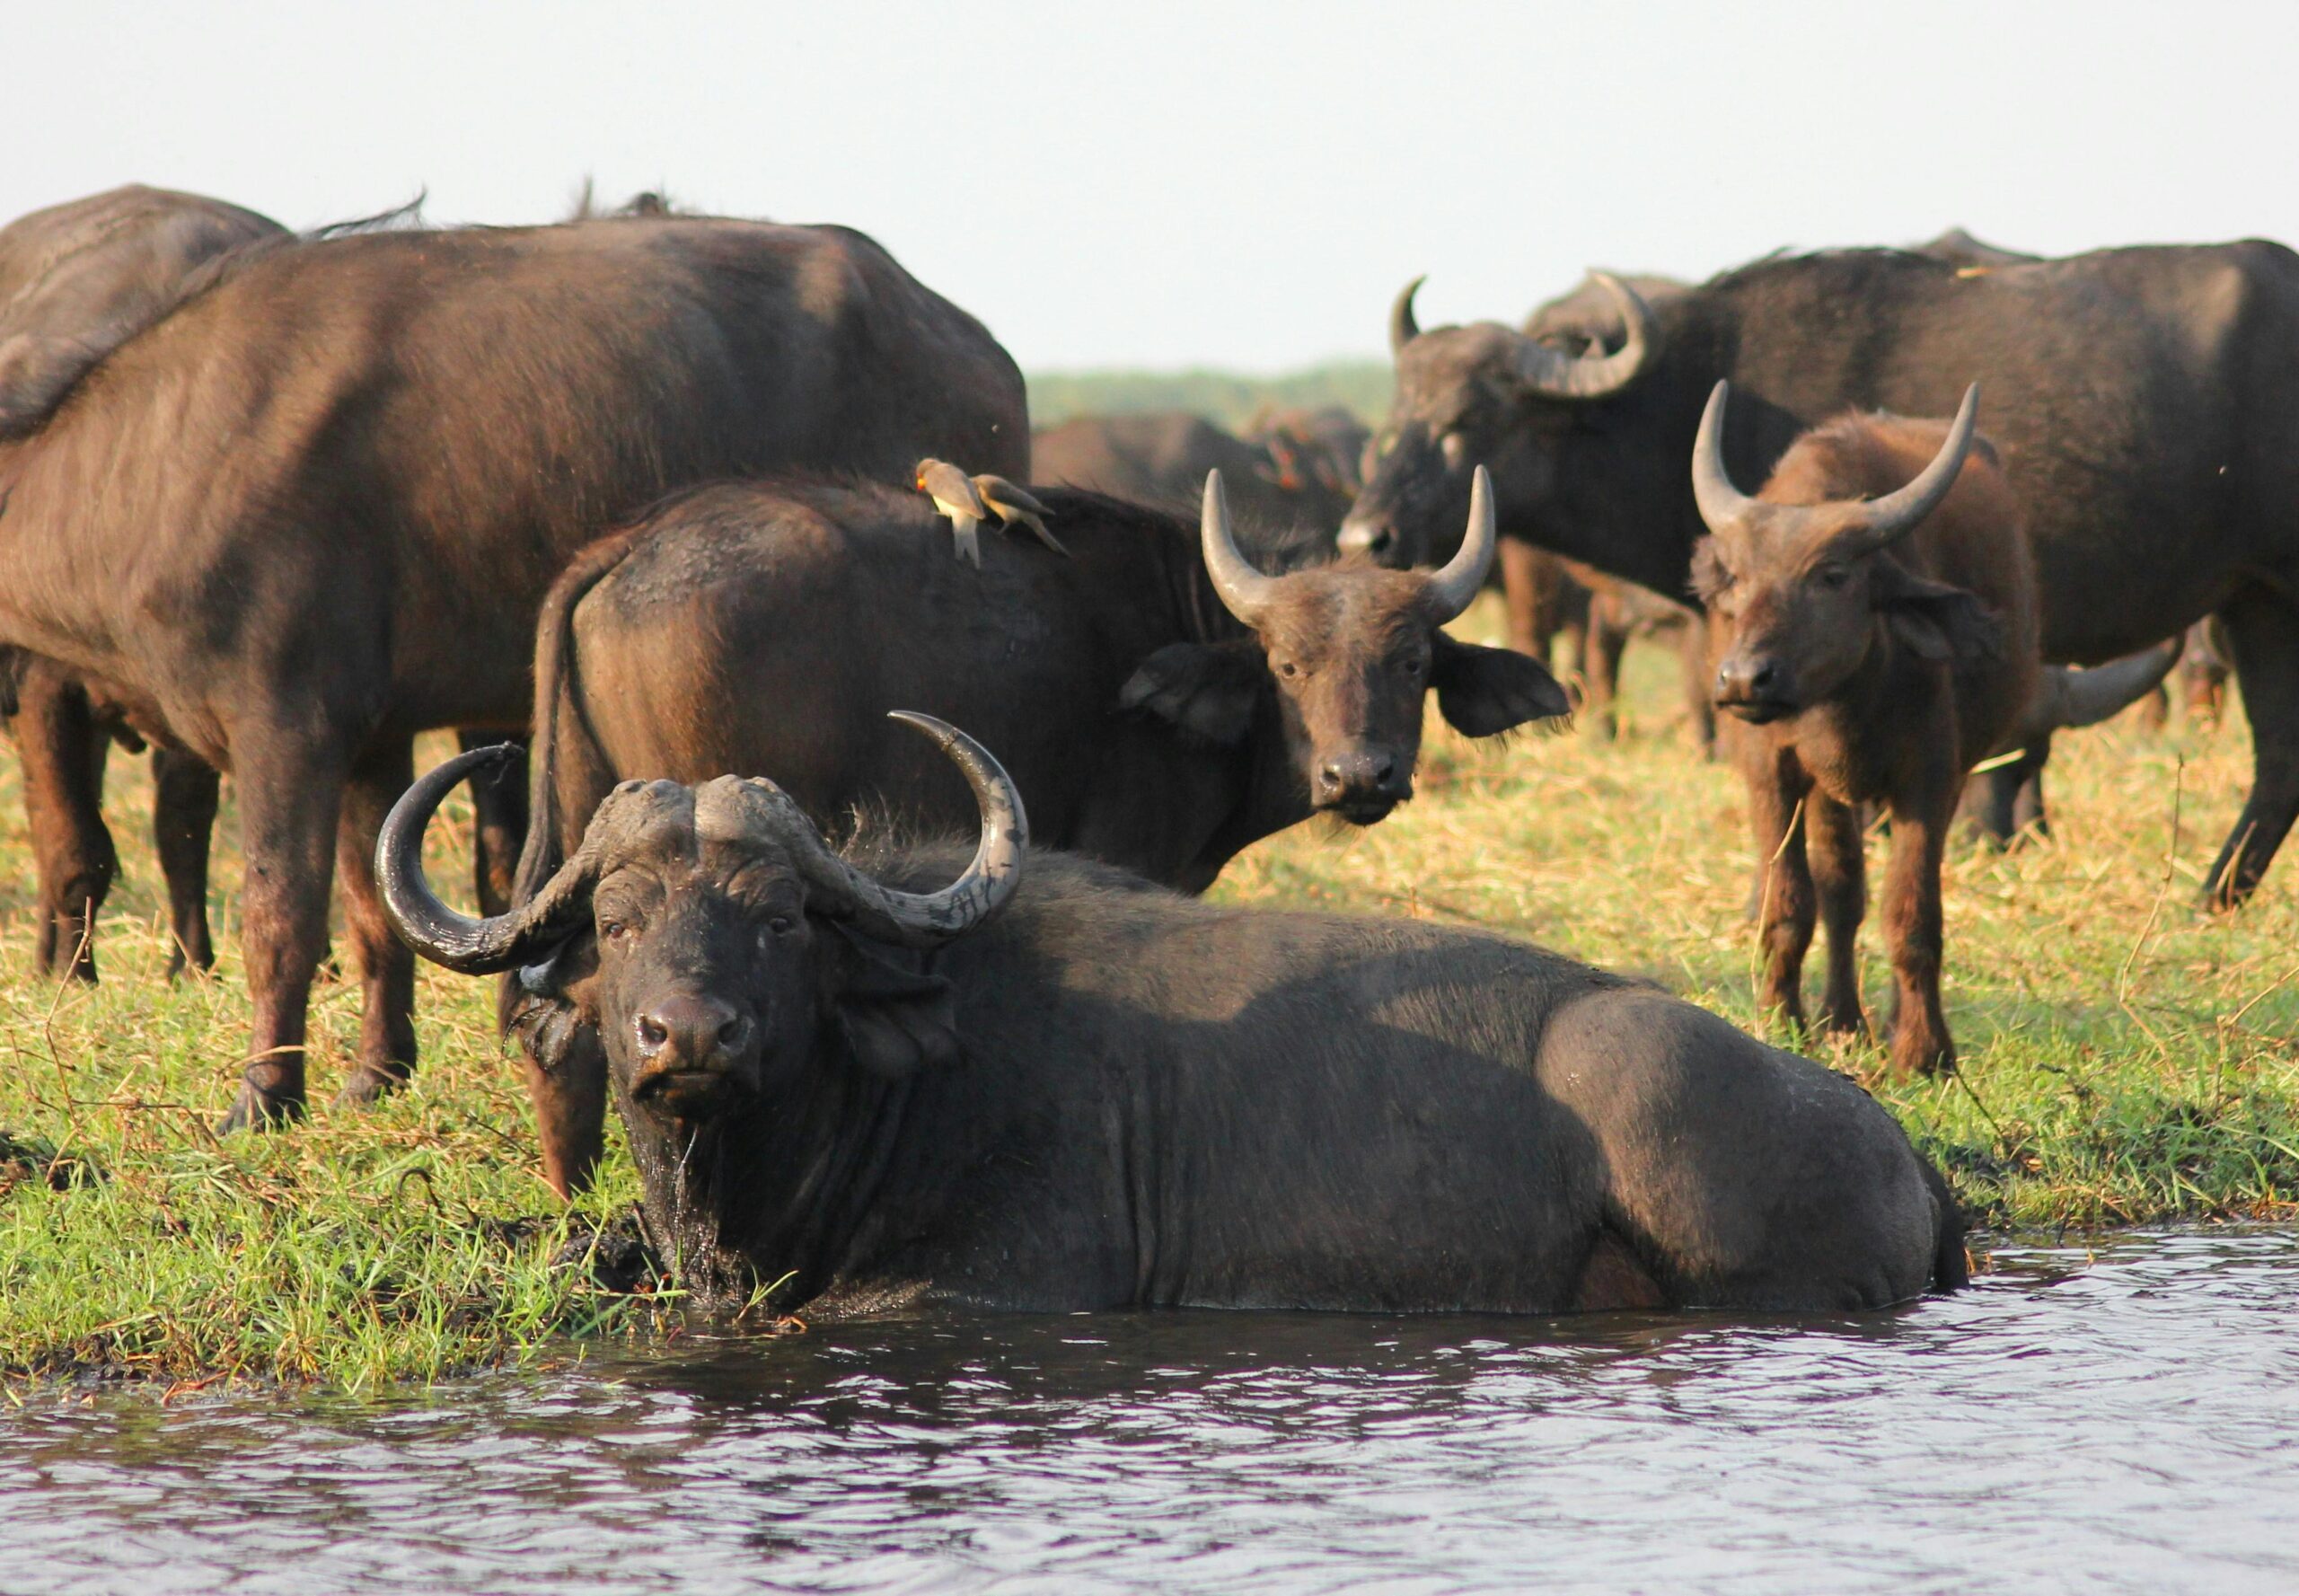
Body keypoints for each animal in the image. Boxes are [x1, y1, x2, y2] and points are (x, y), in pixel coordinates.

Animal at [0, 209, 1027, 1128]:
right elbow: (376, 914)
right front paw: (375, 1075)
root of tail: (970, 339)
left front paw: (263, 1099)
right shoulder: (374, 738)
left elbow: (281, 915)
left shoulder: (285, 725)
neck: (155, 458)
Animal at [1345, 244, 2299, 903]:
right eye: (1397, 413)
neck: (1695, 398)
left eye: (1469, 419)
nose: (1366, 536)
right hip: (2255, 601)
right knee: (2279, 761)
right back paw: (2213, 898)